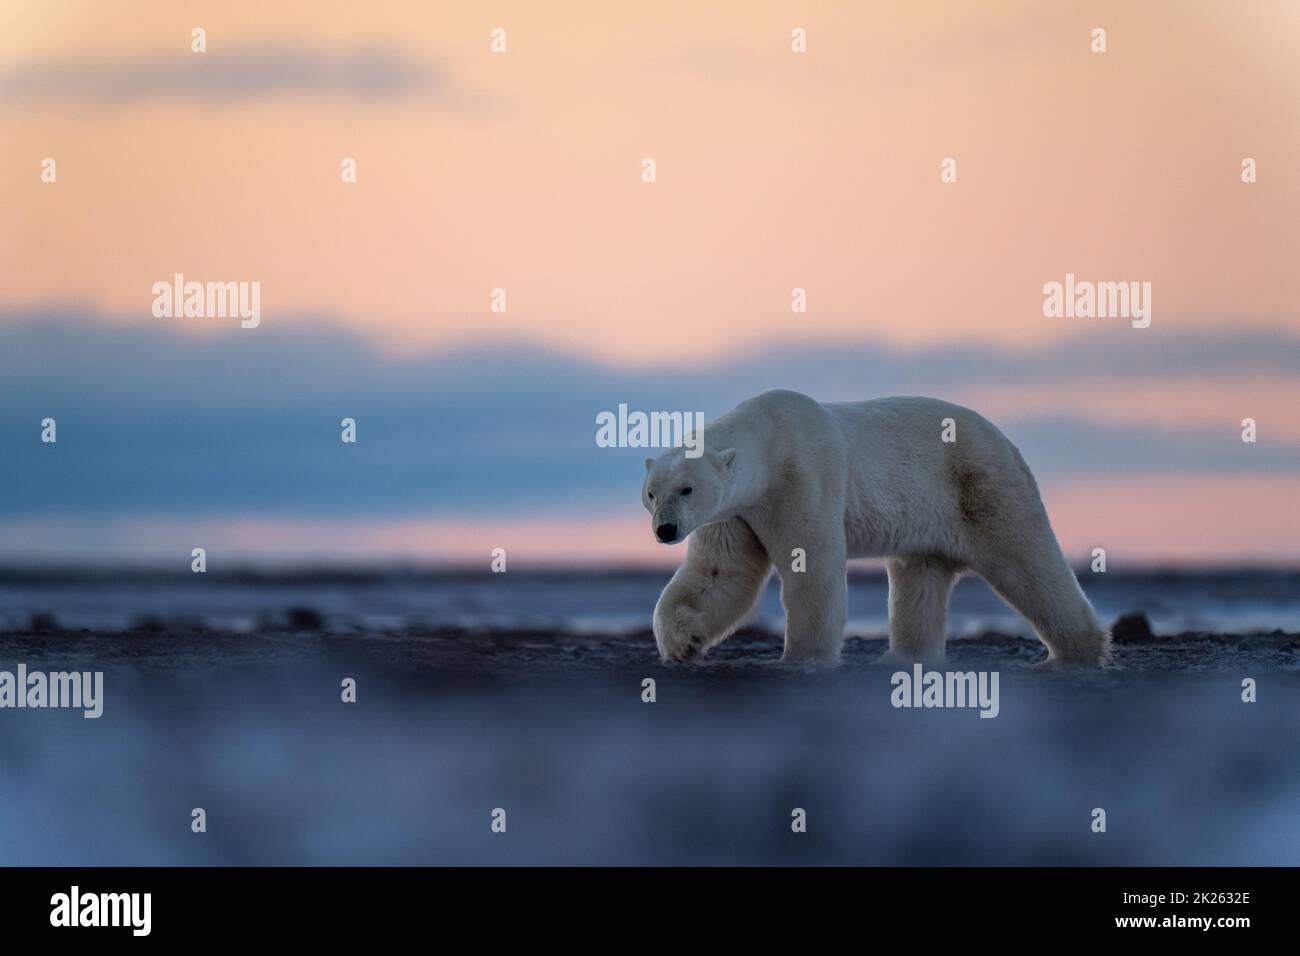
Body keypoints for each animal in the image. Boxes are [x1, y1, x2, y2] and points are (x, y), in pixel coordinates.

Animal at [639, 390, 1107, 665]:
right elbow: (719, 574)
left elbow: (812, 565)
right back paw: (905, 658)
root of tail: (1005, 438)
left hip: (980, 485)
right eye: (652, 492)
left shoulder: (803, 478)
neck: (769, 441)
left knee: (1027, 559)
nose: (665, 530)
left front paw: (804, 656)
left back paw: (1078, 652)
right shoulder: (737, 512)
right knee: (919, 579)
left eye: (686, 488)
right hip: (928, 518)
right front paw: (683, 644)